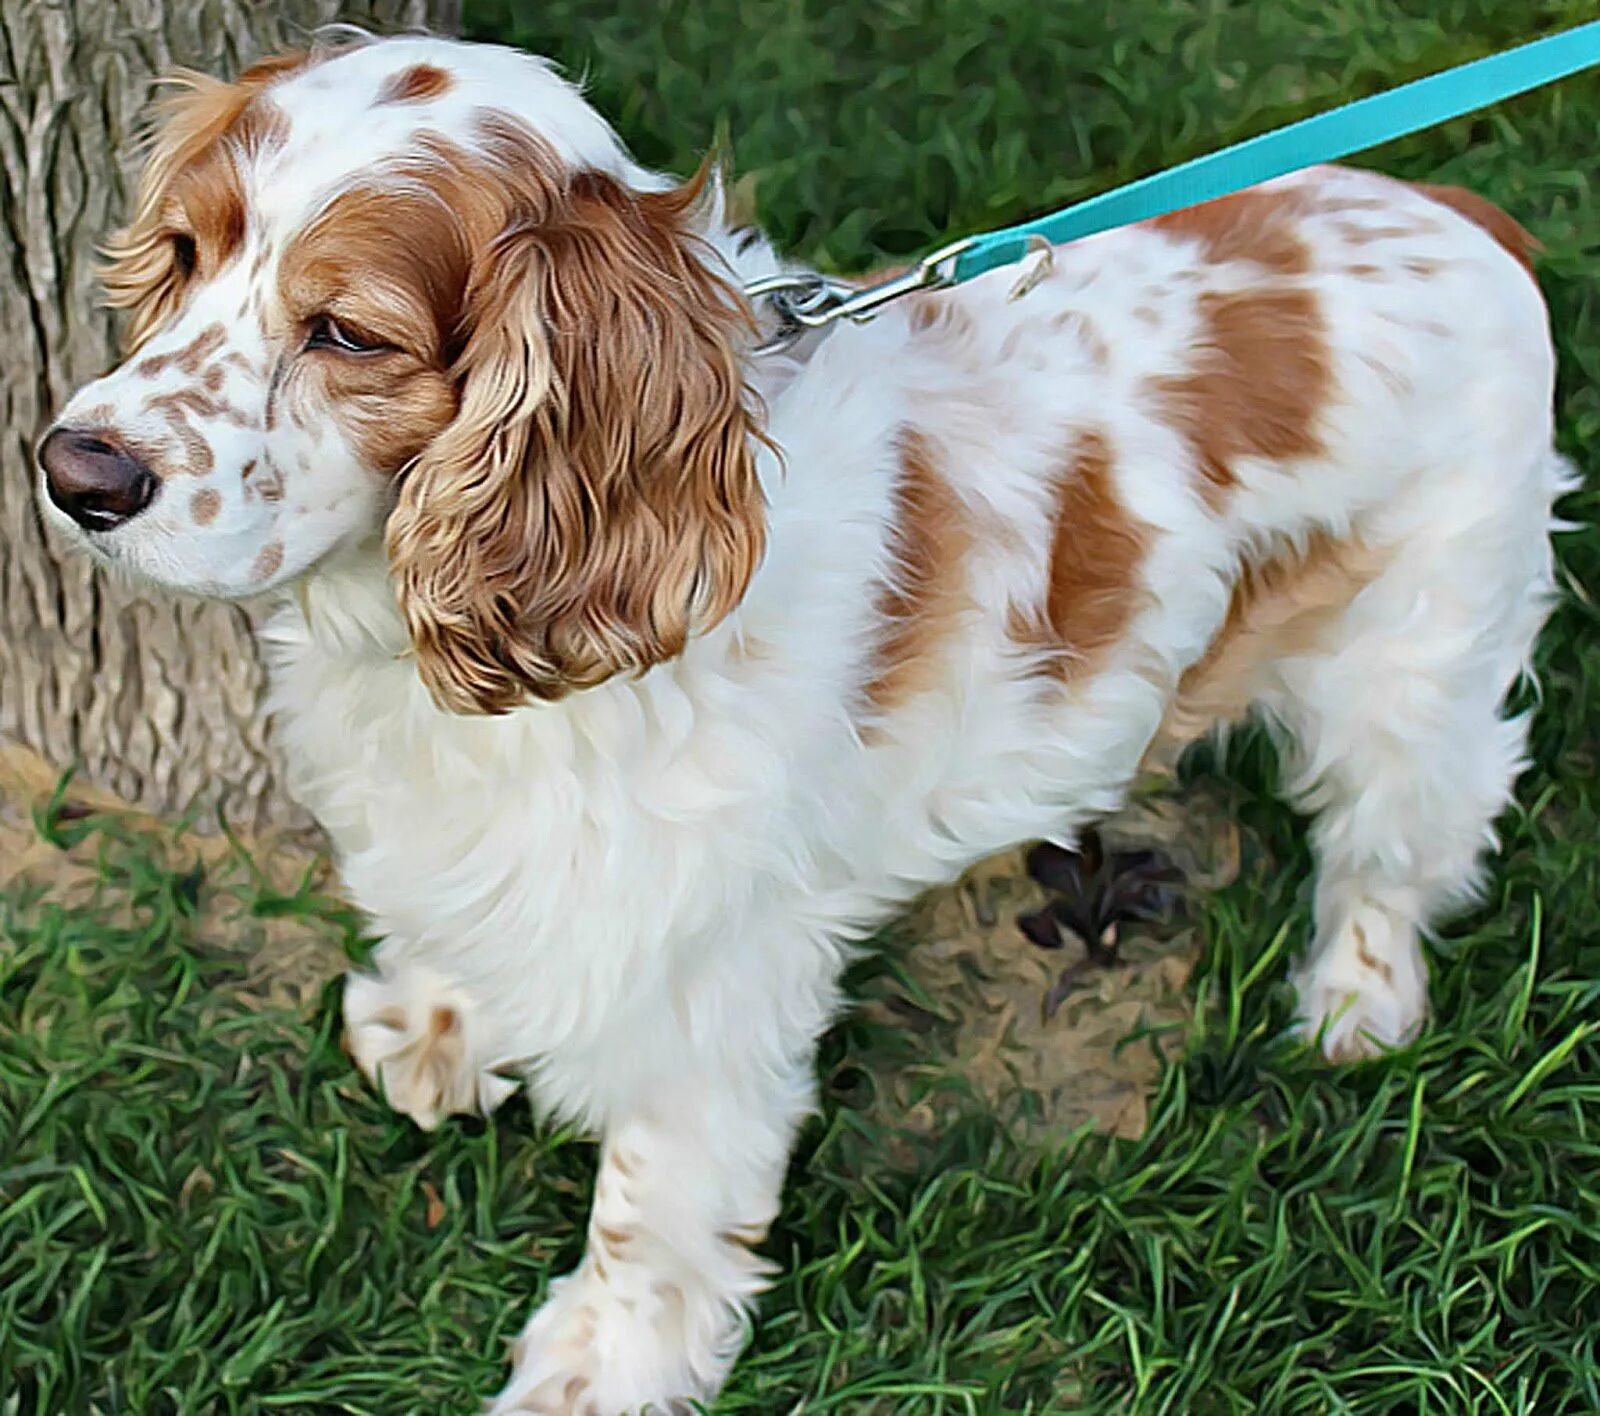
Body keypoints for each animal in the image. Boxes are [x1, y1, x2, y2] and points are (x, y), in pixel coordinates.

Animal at [40, 33, 1574, 1414]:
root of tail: (1465, 213)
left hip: (1416, 665)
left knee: (1396, 851)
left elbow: (653, 1191)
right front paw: (441, 1018)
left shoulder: (705, 959)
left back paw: (1356, 1007)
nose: (73, 472)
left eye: (349, 333)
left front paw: (605, 1363)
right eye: (179, 252)